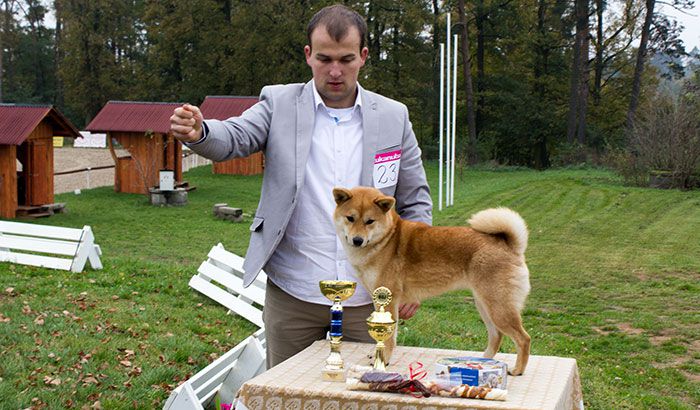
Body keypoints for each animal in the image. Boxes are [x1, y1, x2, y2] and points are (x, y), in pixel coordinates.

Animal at [334, 186, 532, 374]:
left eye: (370, 221)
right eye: (350, 218)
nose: (357, 240)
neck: (386, 240)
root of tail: (509, 246)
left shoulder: (389, 298)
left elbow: (389, 338)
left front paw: (384, 359)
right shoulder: (381, 300)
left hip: (498, 307)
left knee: (523, 338)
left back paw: (517, 370)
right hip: (484, 305)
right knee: (496, 336)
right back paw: (482, 361)